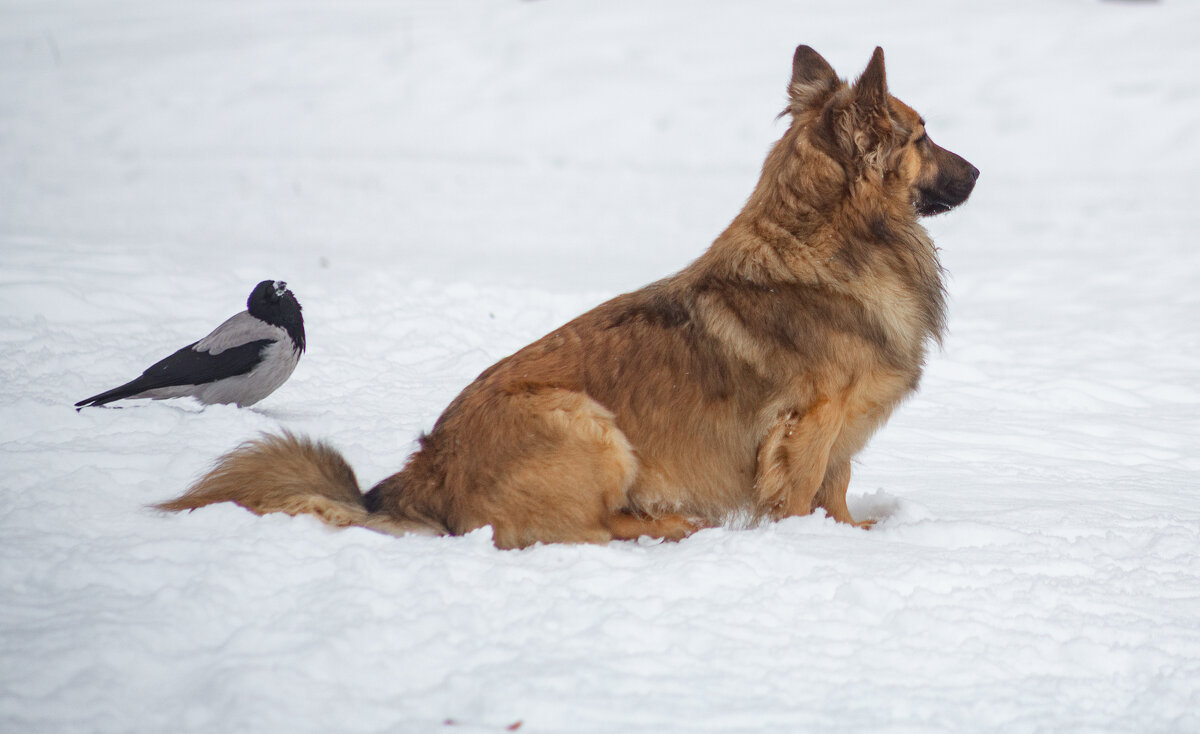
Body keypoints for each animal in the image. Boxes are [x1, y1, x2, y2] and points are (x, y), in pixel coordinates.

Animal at [159, 45, 979, 546]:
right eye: (922, 136)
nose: (979, 174)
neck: (827, 243)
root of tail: (423, 477)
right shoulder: (811, 422)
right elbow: (804, 492)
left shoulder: (844, 427)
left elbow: (836, 490)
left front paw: (854, 533)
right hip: (589, 424)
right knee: (575, 532)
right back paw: (669, 526)